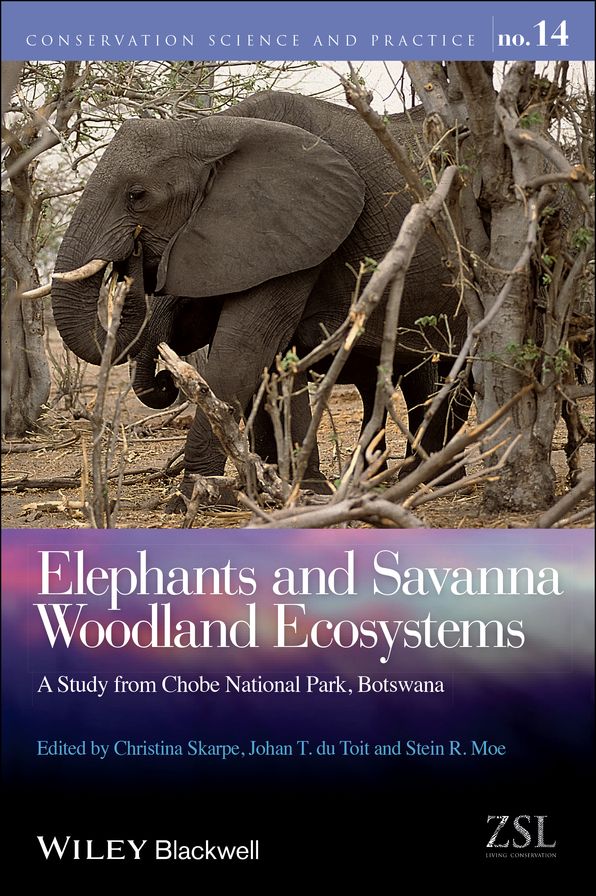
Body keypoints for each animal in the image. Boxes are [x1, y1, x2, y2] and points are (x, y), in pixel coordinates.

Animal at [51, 90, 470, 502]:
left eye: (137, 196)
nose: (133, 255)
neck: (207, 130)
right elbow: (273, 364)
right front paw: (287, 489)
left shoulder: (297, 226)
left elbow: (242, 353)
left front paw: (196, 498)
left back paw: (427, 480)